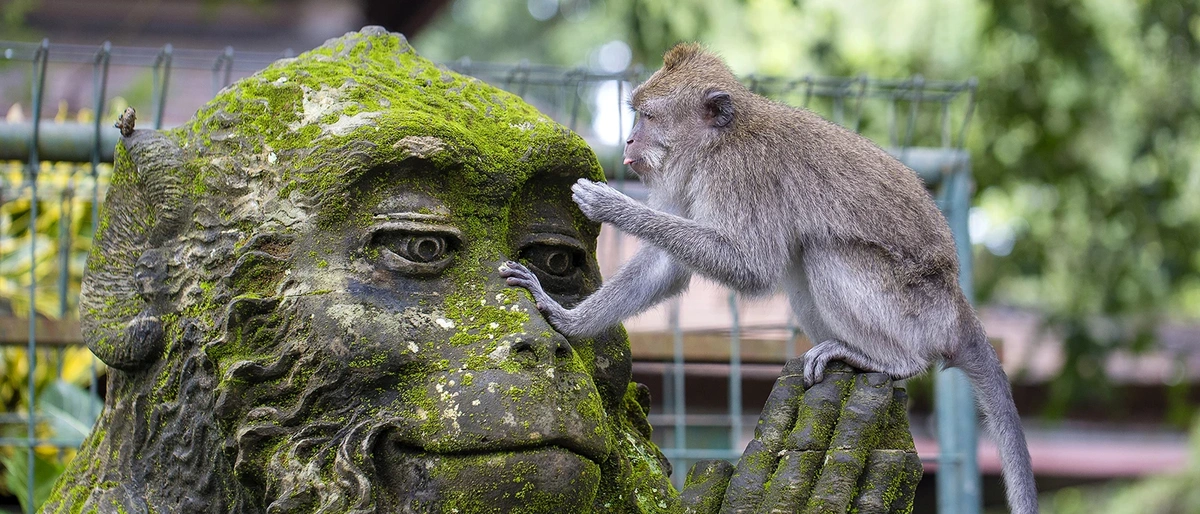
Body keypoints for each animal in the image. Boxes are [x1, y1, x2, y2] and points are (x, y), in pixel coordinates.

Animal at [501, 45, 1036, 514]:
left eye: (647, 117)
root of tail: (957, 306)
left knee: (822, 253)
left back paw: (890, 360)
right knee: (801, 261)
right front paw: (563, 318)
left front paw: (611, 205)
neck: (719, 141)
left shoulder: (738, 174)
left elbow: (750, 266)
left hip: (914, 309)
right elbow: (667, 268)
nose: (630, 141)